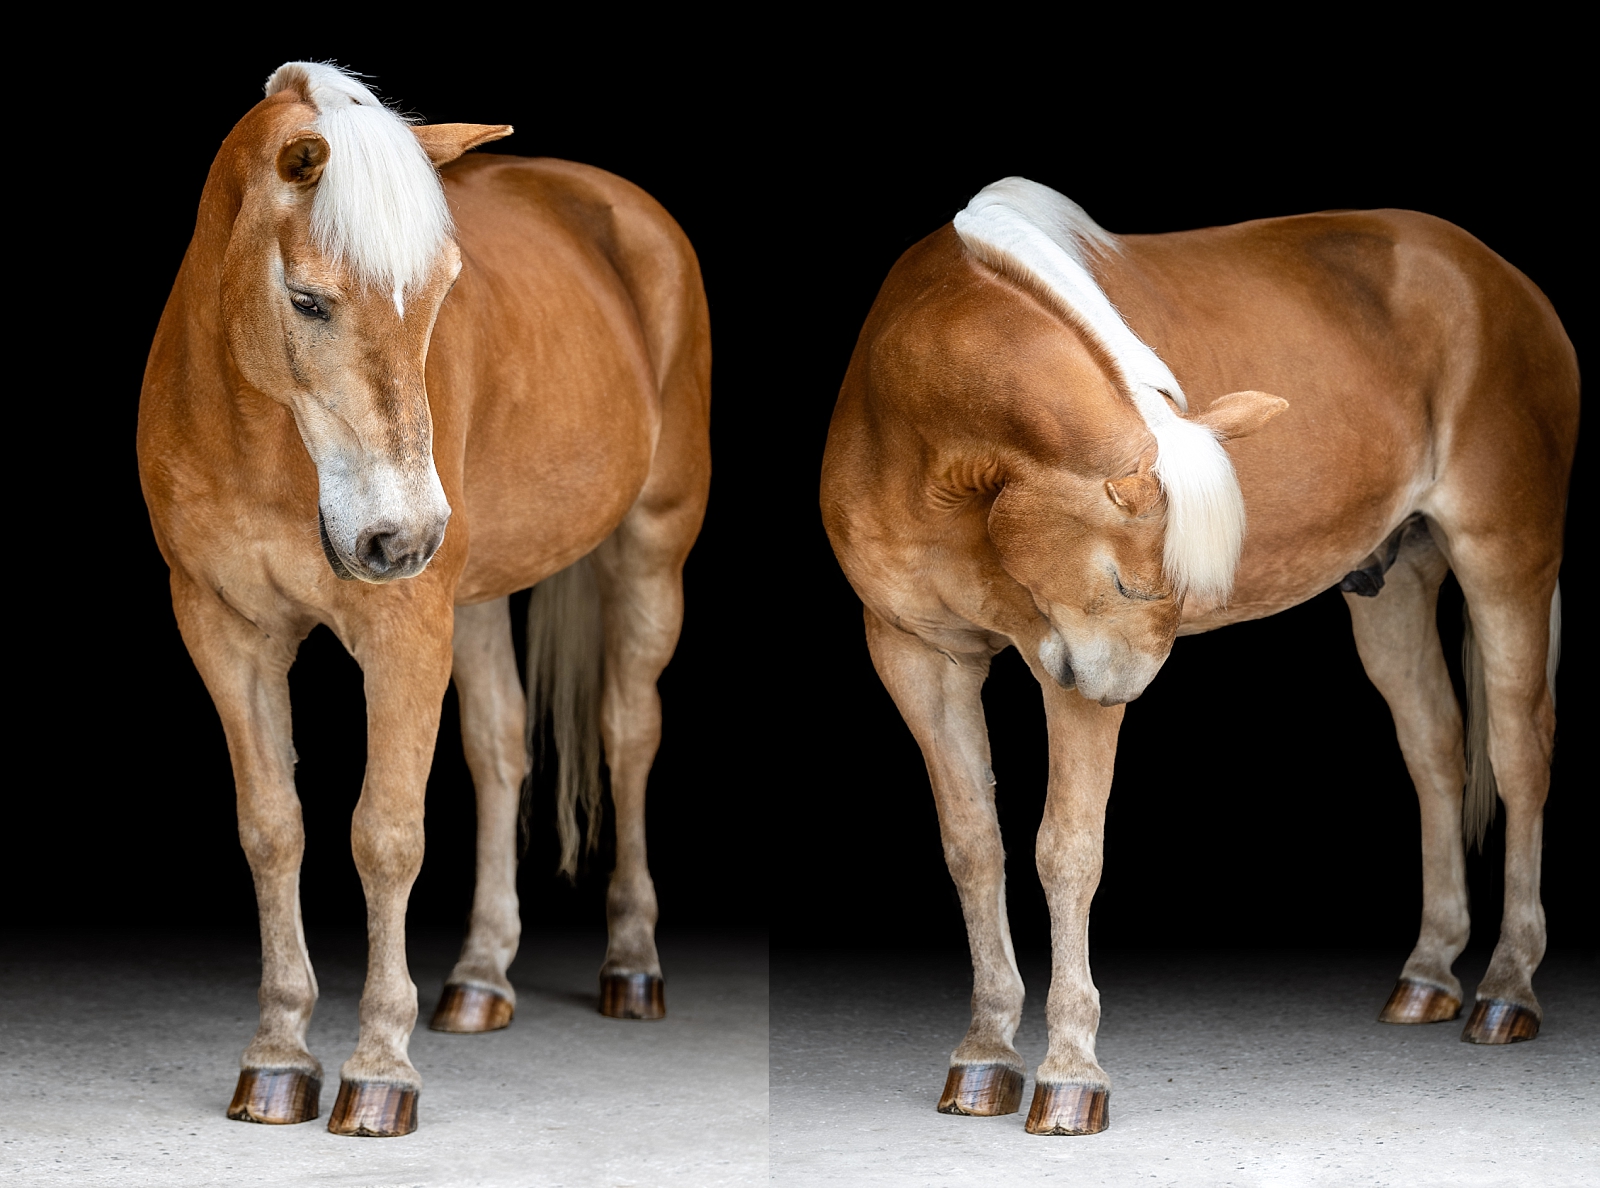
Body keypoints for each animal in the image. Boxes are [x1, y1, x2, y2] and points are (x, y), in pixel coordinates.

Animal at [137, 60, 713, 1139]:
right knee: (498, 749)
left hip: (648, 554)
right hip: (473, 597)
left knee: (627, 734)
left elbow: (386, 835)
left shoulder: (402, 629)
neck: (259, 437)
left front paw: (377, 1073)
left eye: (443, 293)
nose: (399, 539)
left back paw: (631, 965)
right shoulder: (225, 632)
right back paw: (480, 979)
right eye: (308, 300)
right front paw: (277, 1057)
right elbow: (272, 827)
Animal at [825, 181, 1574, 1139]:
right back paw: (1429, 975)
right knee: (1437, 756)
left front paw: (1071, 1075)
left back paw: (1507, 988)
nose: (1126, 696)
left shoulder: (1065, 673)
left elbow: (1067, 852)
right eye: (1122, 578)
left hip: (1504, 556)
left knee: (1519, 761)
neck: (927, 444)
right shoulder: (919, 657)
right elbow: (973, 848)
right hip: (1395, 582)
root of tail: (1503, 279)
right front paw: (985, 1054)